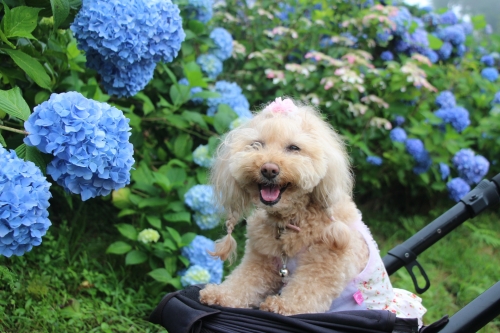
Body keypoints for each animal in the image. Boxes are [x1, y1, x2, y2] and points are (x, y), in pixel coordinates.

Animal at [199, 96, 426, 322]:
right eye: (256, 144)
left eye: (294, 148)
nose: (269, 169)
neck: (293, 219)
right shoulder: (261, 261)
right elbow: (243, 282)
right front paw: (219, 294)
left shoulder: (324, 264)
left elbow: (306, 290)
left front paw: (281, 305)